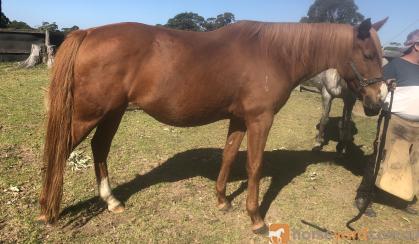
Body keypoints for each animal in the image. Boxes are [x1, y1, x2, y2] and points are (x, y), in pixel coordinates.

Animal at [38, 18, 388, 233]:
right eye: (369, 54)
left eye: (382, 55)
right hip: (89, 115)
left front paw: (222, 200)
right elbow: (254, 165)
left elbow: (230, 155)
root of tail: (89, 32)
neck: (274, 54)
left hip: (114, 112)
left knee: (99, 147)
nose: (377, 102)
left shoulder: (239, 118)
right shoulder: (260, 119)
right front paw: (256, 218)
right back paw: (47, 211)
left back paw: (111, 201)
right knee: (60, 151)